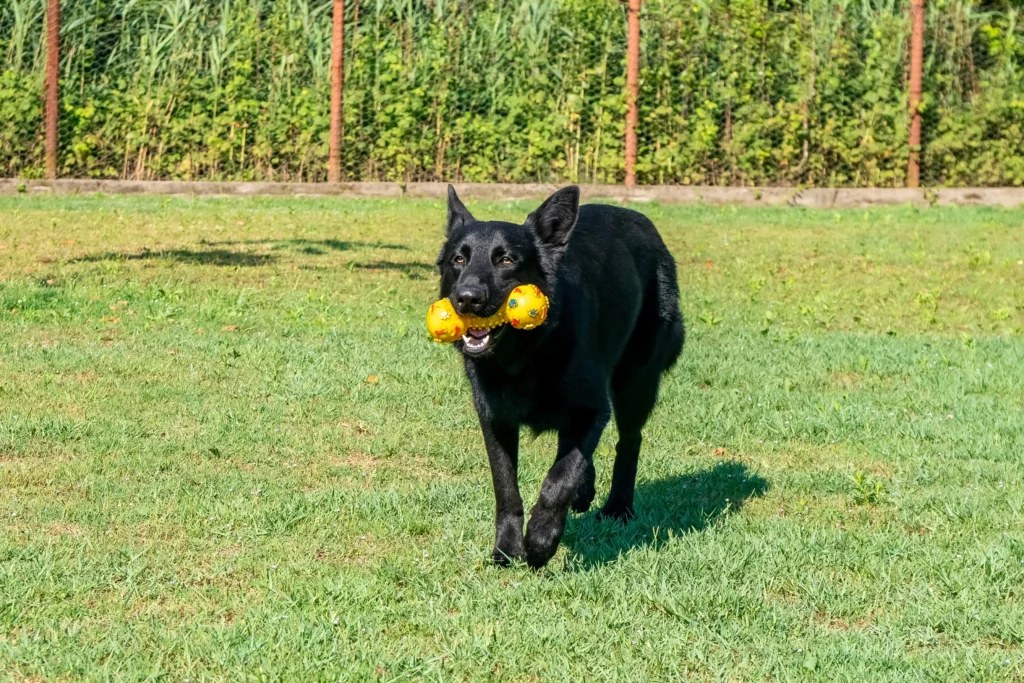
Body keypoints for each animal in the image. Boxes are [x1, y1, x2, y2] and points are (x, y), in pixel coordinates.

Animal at [436, 185, 684, 565]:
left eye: (506, 260)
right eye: (458, 260)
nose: (467, 298)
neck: (528, 353)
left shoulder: (591, 411)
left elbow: (559, 478)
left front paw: (541, 540)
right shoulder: (496, 420)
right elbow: (506, 486)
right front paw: (506, 548)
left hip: (635, 384)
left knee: (629, 441)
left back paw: (618, 508)